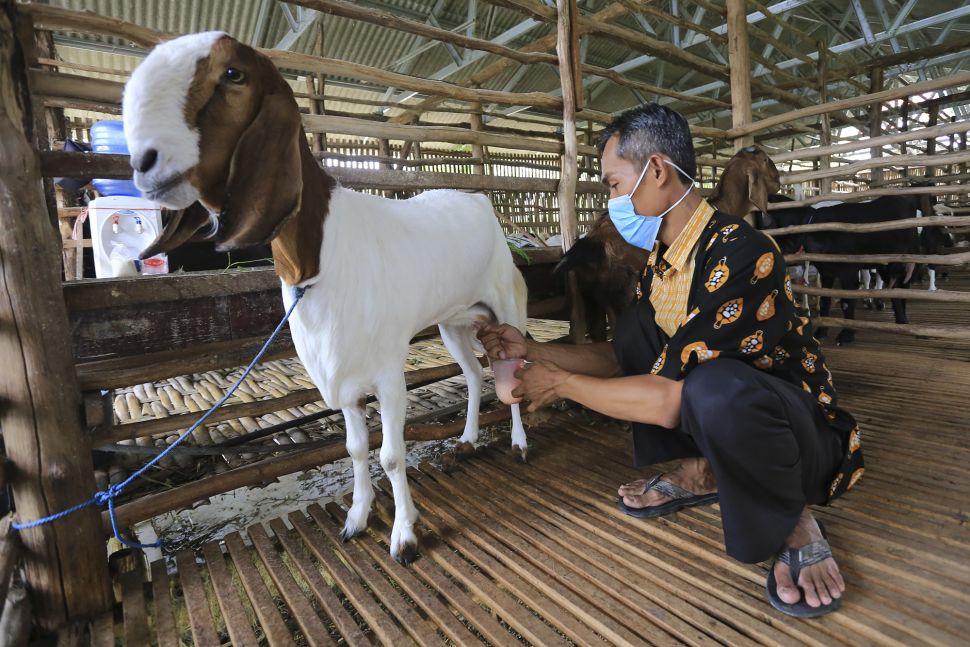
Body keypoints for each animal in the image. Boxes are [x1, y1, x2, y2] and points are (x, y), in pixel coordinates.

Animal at [125, 33, 528, 564]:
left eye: (234, 74)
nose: (143, 163)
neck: (315, 264)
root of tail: (481, 202)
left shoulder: (388, 373)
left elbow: (391, 454)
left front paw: (404, 536)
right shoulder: (344, 378)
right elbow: (355, 449)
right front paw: (357, 518)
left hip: (505, 305)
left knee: (512, 371)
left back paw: (520, 443)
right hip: (454, 323)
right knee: (475, 373)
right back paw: (466, 439)